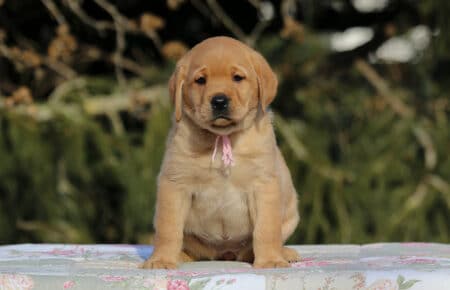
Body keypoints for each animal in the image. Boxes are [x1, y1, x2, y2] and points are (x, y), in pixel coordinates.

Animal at [142, 36, 300, 270]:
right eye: (200, 80)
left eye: (237, 78)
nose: (219, 101)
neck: (223, 137)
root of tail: (224, 253)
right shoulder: (175, 184)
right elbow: (168, 229)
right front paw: (161, 259)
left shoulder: (264, 186)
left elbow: (266, 230)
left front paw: (271, 260)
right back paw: (181, 255)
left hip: (290, 214)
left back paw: (283, 253)